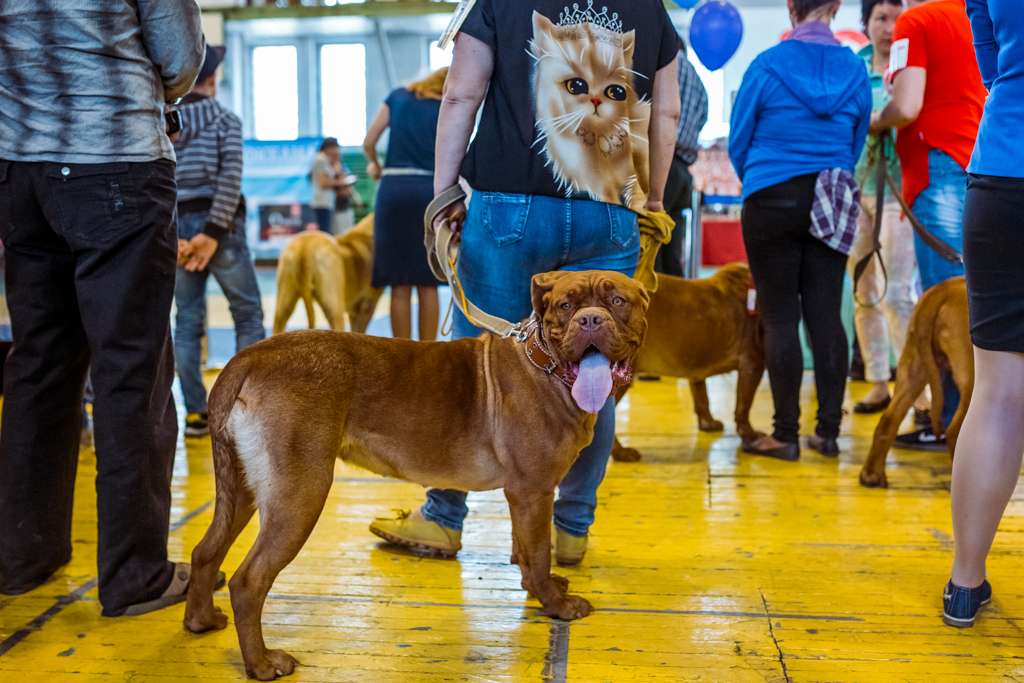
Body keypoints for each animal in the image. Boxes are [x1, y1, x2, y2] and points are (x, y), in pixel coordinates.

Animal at [182, 270, 647, 679]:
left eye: (617, 301)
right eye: (567, 305)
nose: (591, 319)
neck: (545, 364)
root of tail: (248, 357)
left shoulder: (525, 496)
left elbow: (526, 551)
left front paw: (540, 586)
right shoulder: (533, 491)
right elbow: (537, 554)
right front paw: (554, 605)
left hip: (243, 490)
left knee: (206, 551)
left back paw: (201, 621)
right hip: (299, 495)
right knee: (248, 581)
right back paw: (262, 664)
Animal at [610, 264, 765, 462]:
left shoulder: (695, 364)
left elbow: (702, 397)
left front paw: (708, 424)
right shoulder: (753, 364)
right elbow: (743, 406)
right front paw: (750, 435)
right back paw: (620, 452)